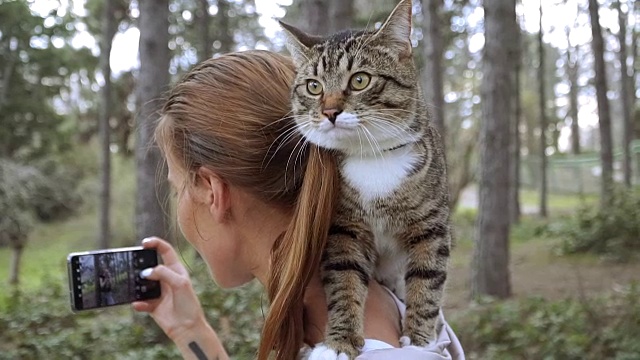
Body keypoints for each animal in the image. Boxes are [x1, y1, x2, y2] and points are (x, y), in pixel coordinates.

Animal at [280, 1, 450, 358]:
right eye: (313, 86)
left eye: (360, 80)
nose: (330, 112)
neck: (371, 158)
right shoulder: (344, 228)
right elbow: (344, 279)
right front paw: (339, 342)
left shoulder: (431, 226)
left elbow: (427, 279)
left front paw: (419, 340)